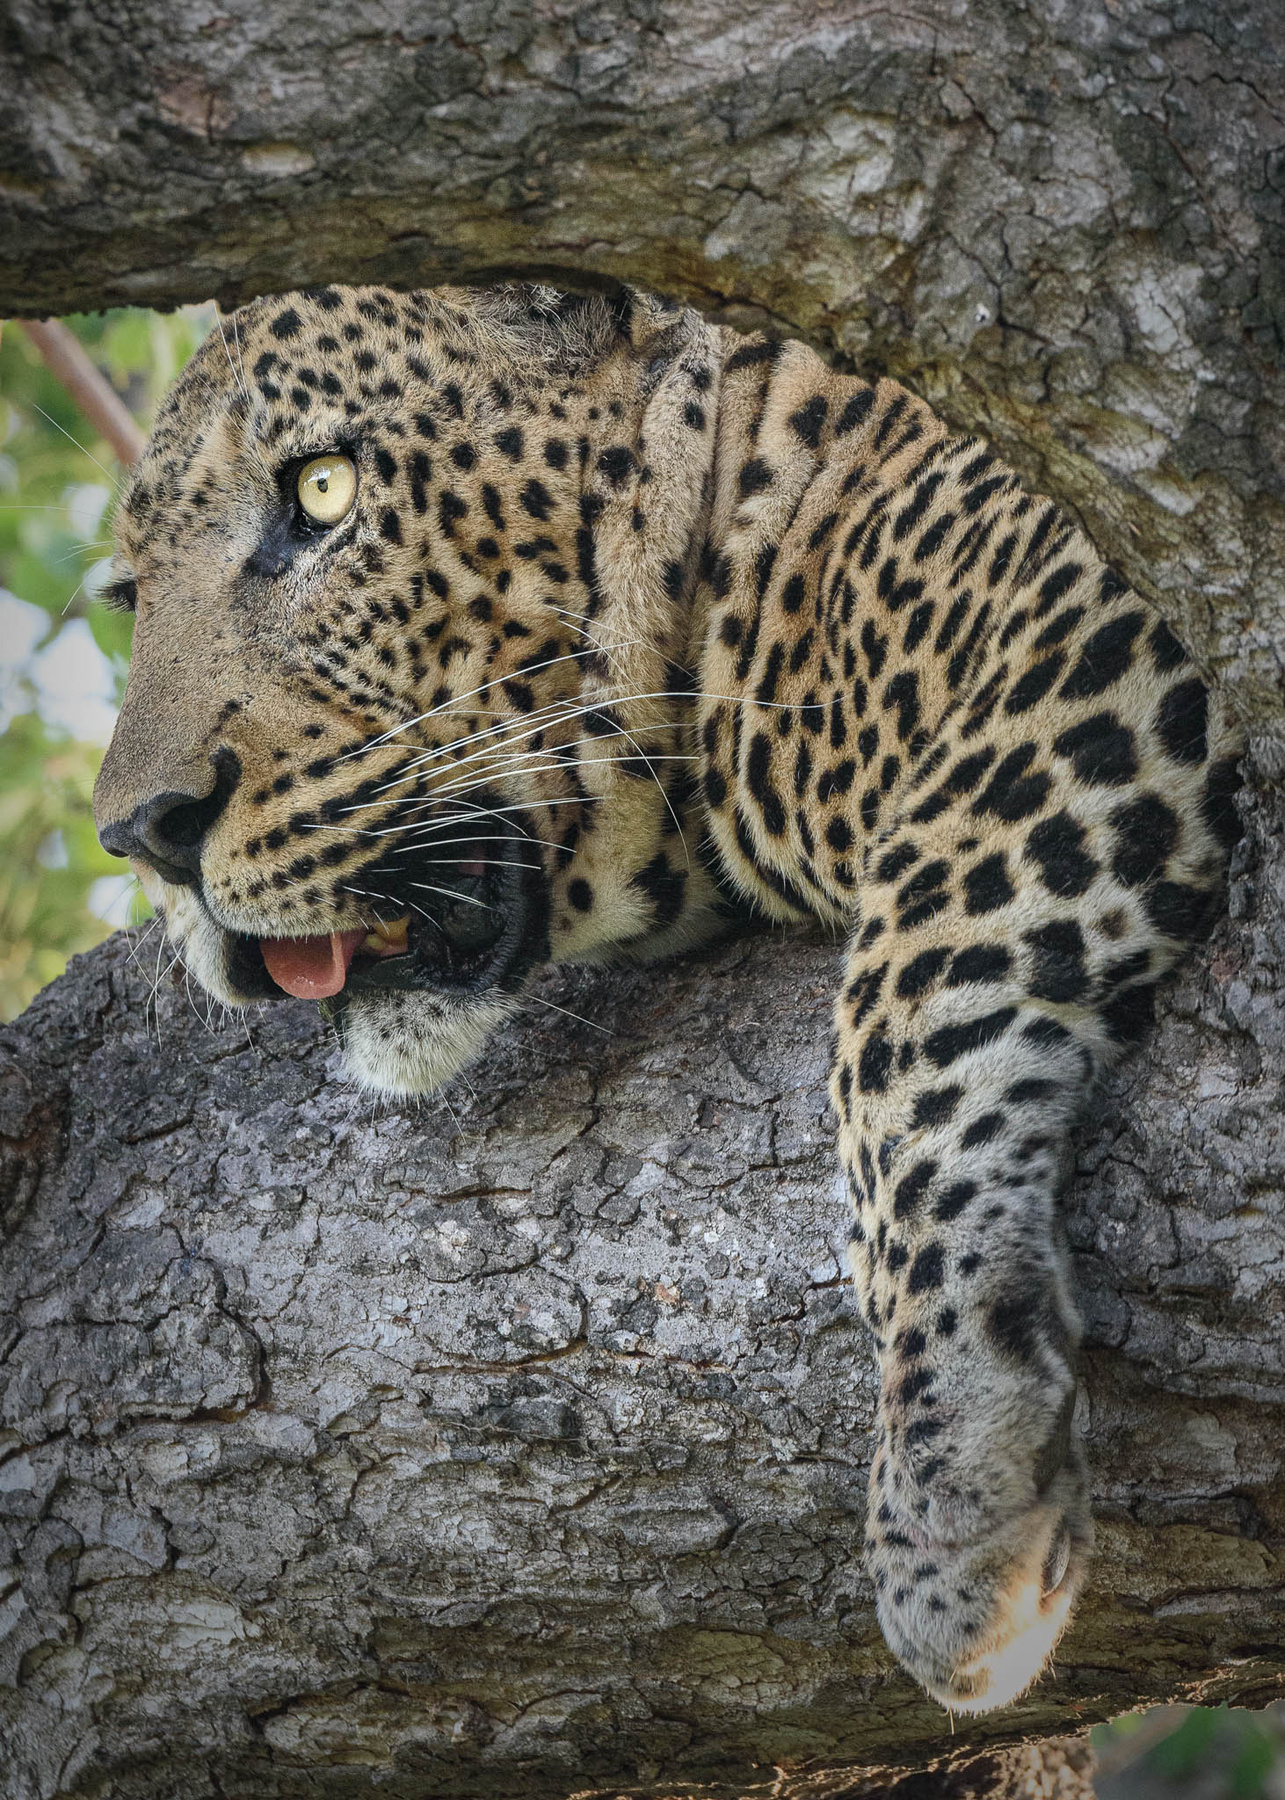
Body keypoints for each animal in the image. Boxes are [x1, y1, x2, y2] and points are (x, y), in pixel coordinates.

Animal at [92, 280, 1243, 1714]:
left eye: (322, 490)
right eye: (130, 595)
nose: (143, 835)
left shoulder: (1083, 603)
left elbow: (907, 985)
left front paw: (953, 1487)